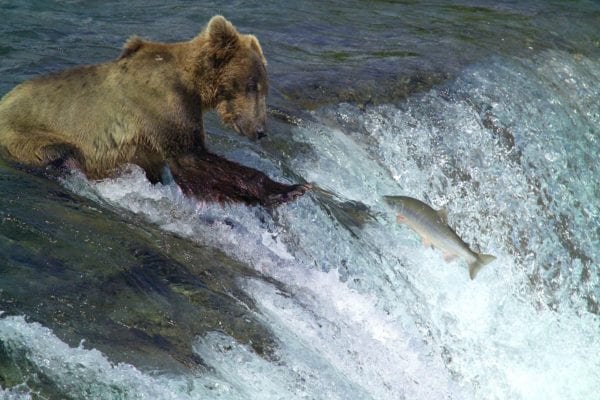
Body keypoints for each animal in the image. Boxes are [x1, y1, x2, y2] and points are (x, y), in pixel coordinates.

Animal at [0, 14, 310, 206]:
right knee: (61, 153)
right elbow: (192, 158)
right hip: (27, 135)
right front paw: (290, 189)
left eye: (263, 87)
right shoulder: (162, 106)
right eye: (252, 85)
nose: (260, 130)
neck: (193, 85)